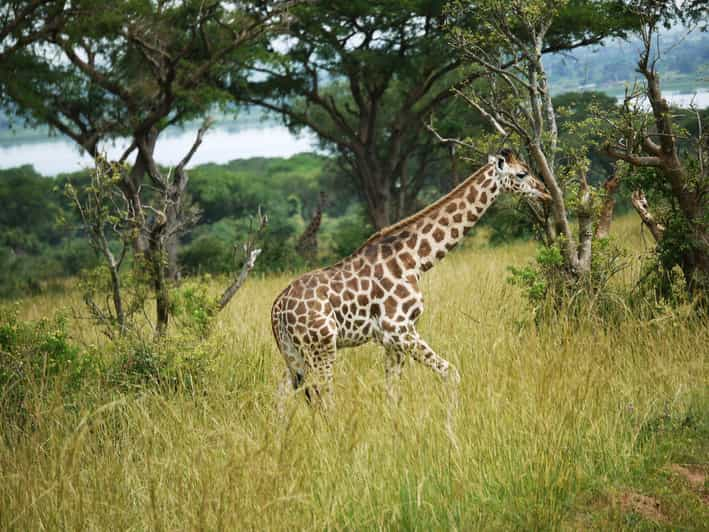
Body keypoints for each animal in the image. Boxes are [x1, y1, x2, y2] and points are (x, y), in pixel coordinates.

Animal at [268, 148, 552, 406]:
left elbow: (392, 393)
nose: (546, 191)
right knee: (325, 397)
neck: (415, 261)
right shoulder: (399, 329)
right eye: (522, 173)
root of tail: (277, 308)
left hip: (294, 354)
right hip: (322, 346)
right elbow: (451, 373)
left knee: (281, 394)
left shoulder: (392, 339)